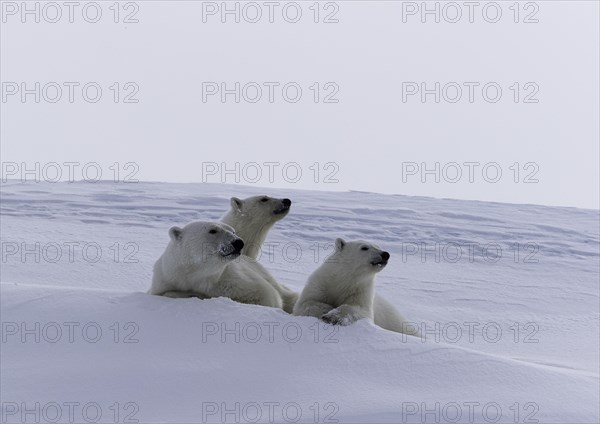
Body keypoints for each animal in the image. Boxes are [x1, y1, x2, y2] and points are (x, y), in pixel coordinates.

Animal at [148, 222, 286, 308]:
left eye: (233, 231)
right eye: (213, 230)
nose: (239, 242)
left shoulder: (231, 281)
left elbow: (267, 296)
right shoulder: (166, 279)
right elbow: (166, 293)